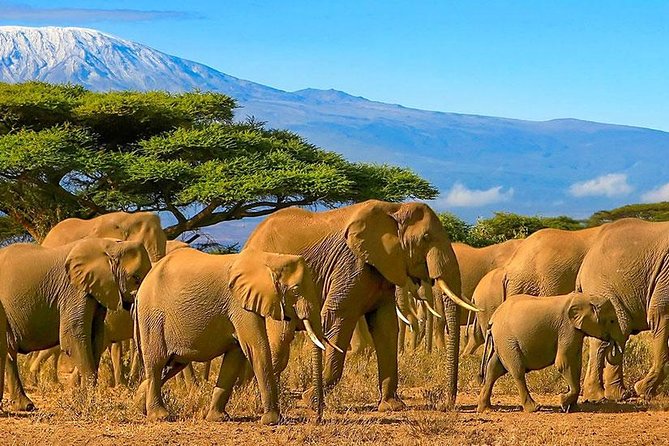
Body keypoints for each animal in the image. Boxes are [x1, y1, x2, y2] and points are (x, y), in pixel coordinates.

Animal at [0, 238, 151, 411]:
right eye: (136, 278)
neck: (111, 246)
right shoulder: (73, 291)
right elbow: (73, 337)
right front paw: (87, 405)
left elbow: (96, 339)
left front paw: (82, 401)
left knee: (8, 350)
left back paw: (25, 406)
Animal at [135, 247, 329, 424]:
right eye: (295, 291)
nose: (318, 418)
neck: (270, 258)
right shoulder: (239, 304)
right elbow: (256, 348)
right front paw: (273, 420)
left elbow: (235, 356)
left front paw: (218, 418)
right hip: (152, 317)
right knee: (157, 362)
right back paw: (160, 416)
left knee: (172, 365)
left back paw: (139, 406)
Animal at [244, 199, 476, 411]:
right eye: (426, 238)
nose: (446, 404)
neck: (394, 208)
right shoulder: (351, 265)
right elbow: (338, 318)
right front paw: (310, 400)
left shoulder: (382, 268)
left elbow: (386, 327)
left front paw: (392, 406)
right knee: (281, 339)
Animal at [477, 293, 624, 413]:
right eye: (612, 320)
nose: (611, 342)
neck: (586, 298)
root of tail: (493, 319)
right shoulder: (567, 328)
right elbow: (564, 362)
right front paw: (563, 402)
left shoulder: (575, 331)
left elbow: (576, 364)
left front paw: (573, 408)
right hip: (507, 341)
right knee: (517, 371)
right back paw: (534, 408)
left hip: (502, 342)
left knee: (493, 369)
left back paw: (486, 409)